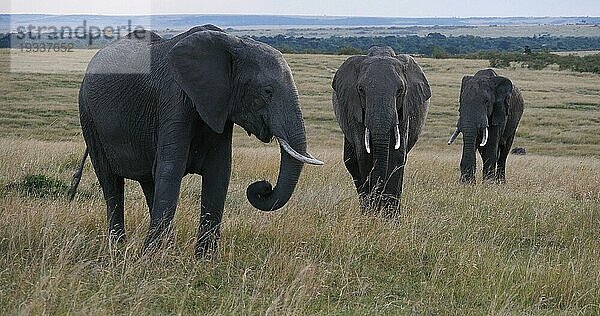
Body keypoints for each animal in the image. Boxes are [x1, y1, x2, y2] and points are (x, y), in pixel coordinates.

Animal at [67, 24, 324, 256]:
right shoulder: (174, 97)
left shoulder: (219, 106)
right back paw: (120, 249)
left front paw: (204, 261)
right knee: (111, 183)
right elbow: (171, 170)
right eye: (267, 92)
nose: (262, 187)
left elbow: (218, 173)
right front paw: (148, 259)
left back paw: (167, 250)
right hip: (88, 115)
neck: (232, 44)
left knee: (150, 181)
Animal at [330, 46, 428, 215]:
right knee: (351, 162)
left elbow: (397, 156)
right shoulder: (355, 110)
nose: (378, 207)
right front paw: (372, 215)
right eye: (361, 90)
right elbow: (364, 154)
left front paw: (389, 217)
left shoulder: (404, 110)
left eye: (400, 90)